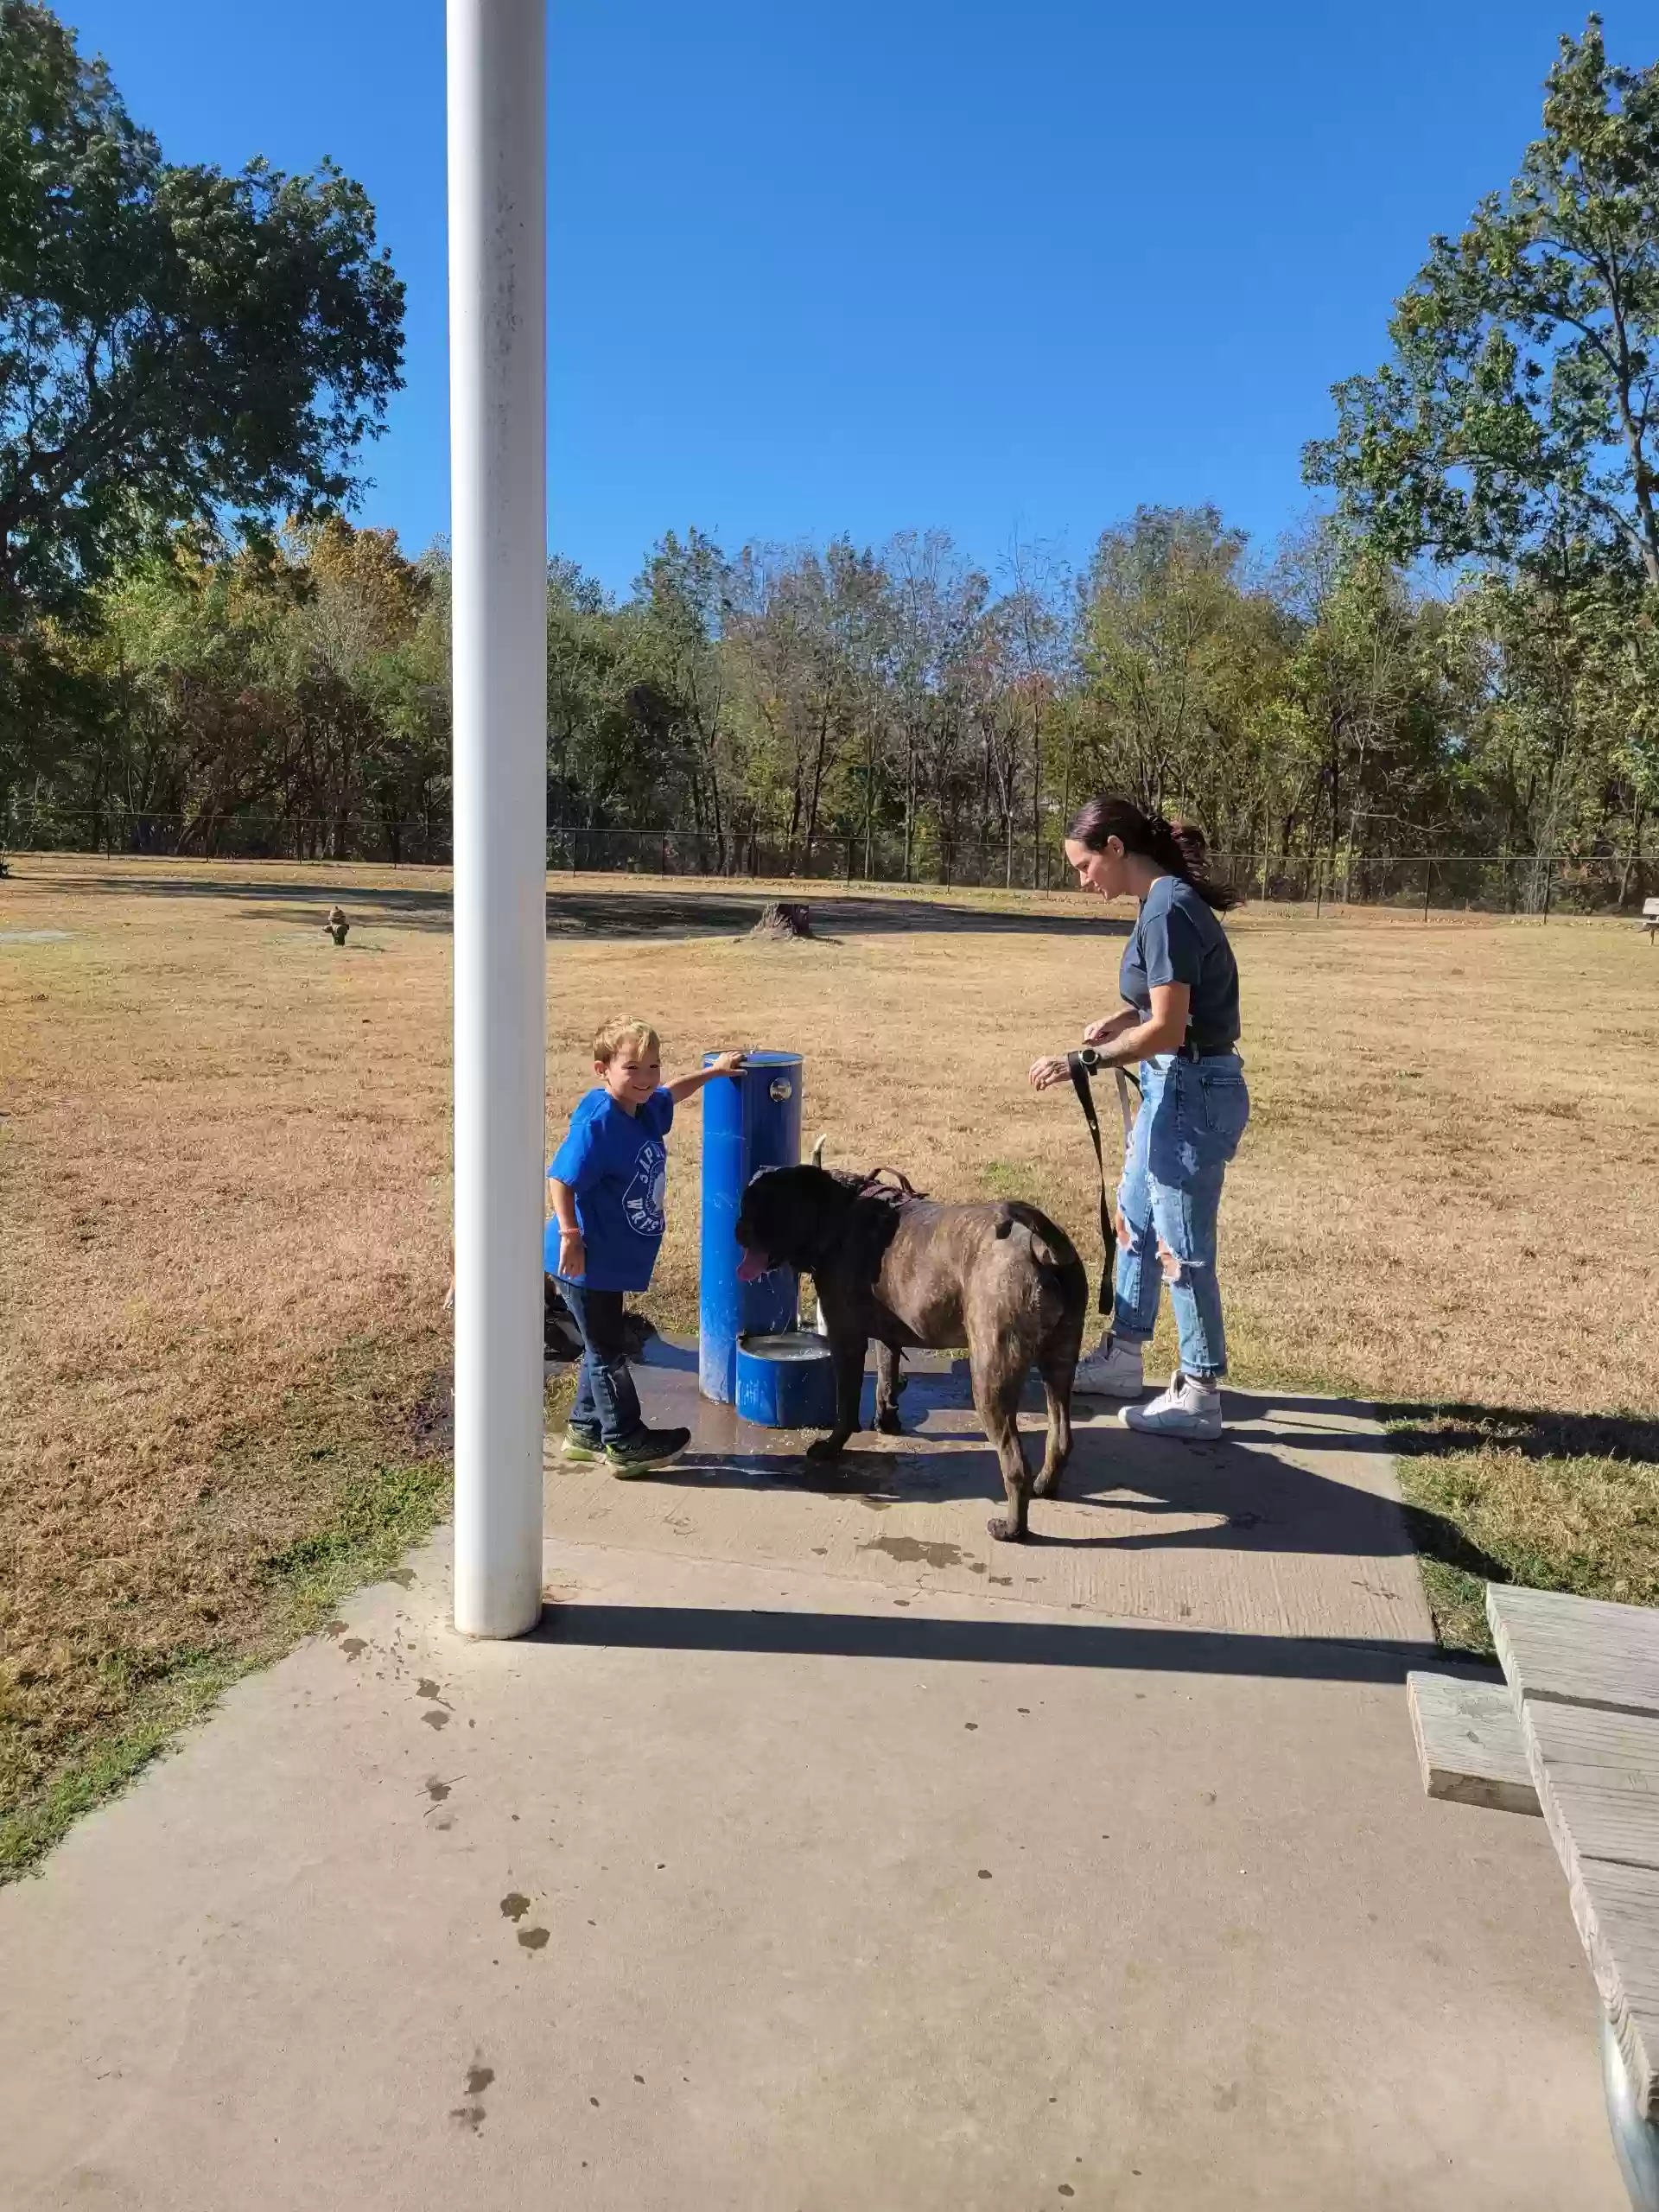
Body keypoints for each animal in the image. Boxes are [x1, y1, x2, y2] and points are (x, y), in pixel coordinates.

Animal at [734, 1176, 1084, 1539]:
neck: (835, 1211)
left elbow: (846, 1404)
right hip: (1059, 1362)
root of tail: (1041, 1247)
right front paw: (886, 1421)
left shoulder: (846, 1339)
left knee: (1015, 1463)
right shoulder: (888, 1337)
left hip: (991, 1377)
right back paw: (1045, 1485)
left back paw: (1012, 1528)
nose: (738, 1227)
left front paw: (832, 1447)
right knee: (1060, 1437)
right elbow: (886, 1379)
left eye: (767, 1207)